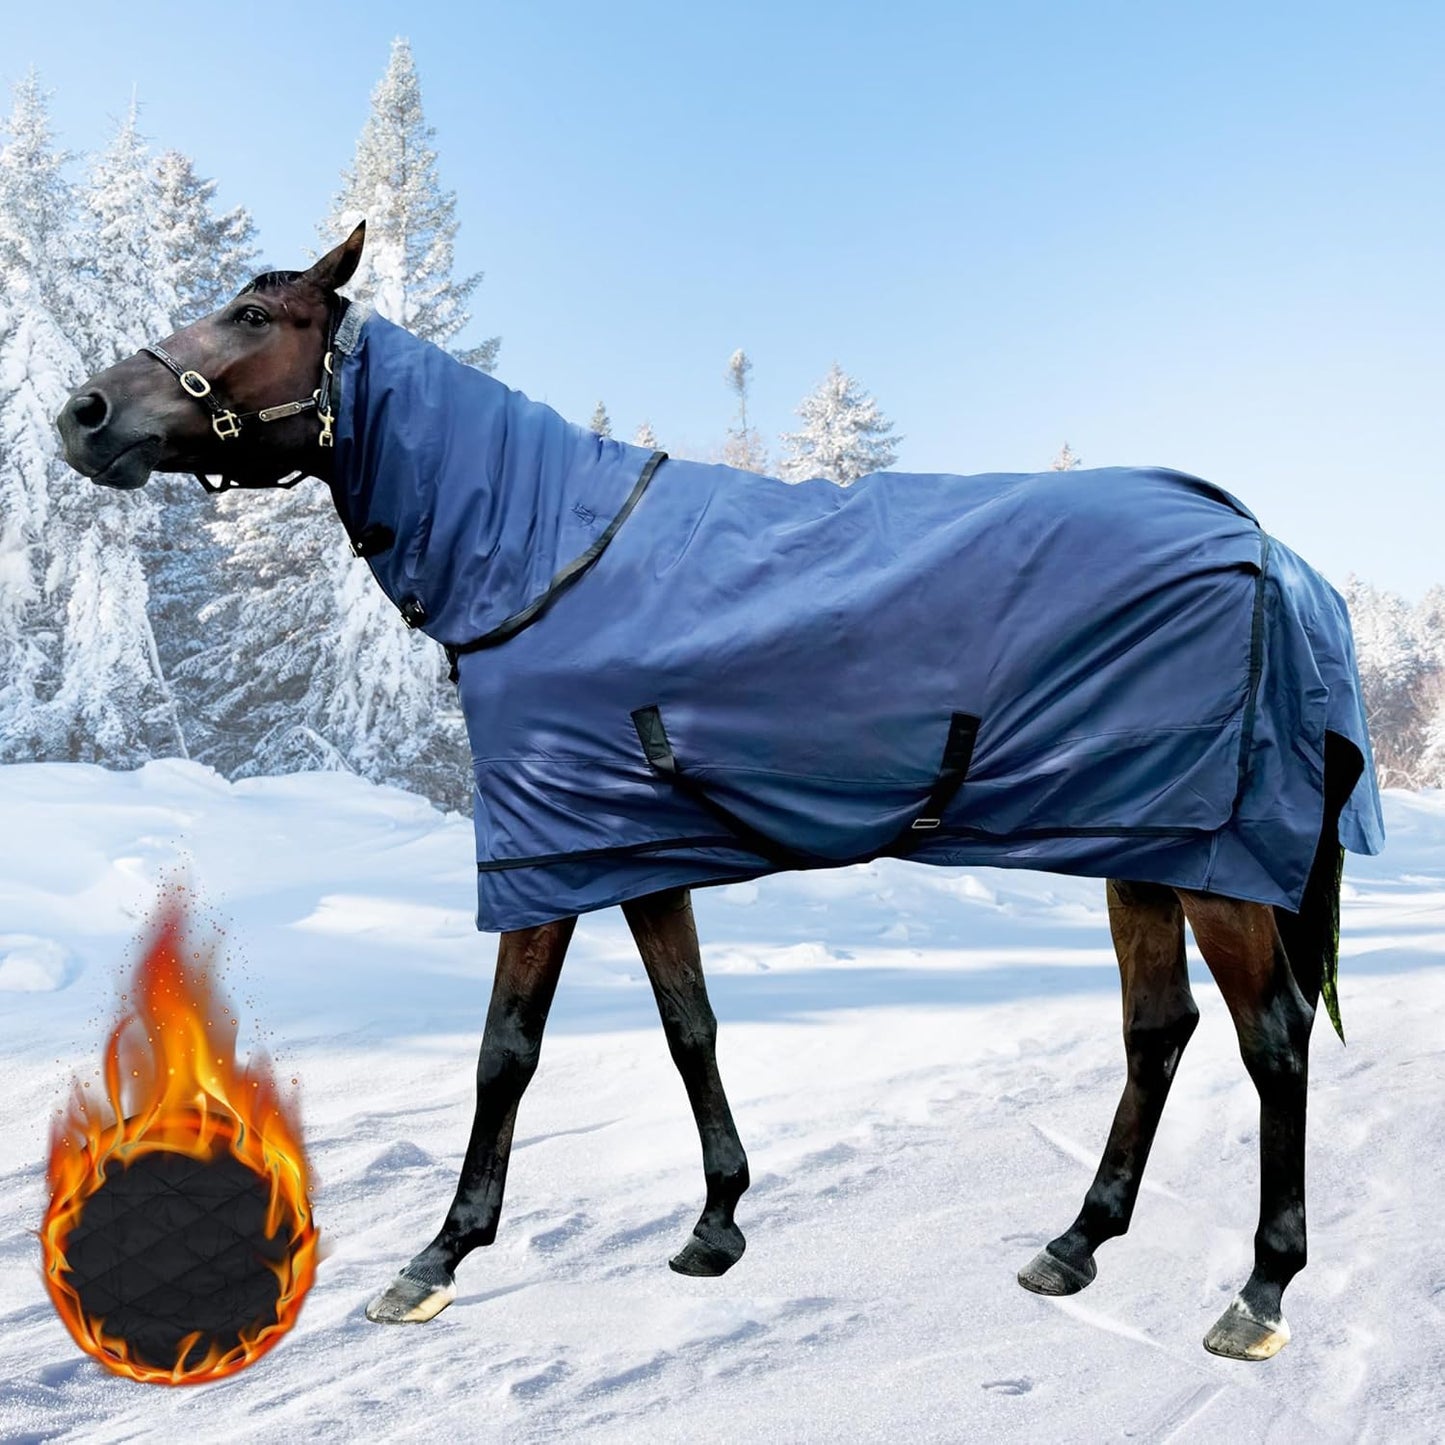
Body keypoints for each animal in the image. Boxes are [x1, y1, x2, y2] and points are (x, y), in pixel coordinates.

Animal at [56, 222, 1383, 1362]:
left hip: (1214, 862)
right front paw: (715, 1221)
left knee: (1270, 1041)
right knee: (1157, 1028)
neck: (544, 554)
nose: (82, 413)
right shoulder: (632, 847)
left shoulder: (545, 855)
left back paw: (1259, 1288)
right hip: (1143, 842)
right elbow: (685, 1022)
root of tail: (1272, 551)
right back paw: (1073, 1241)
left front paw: (438, 1255)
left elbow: (504, 1050)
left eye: (252, 313)